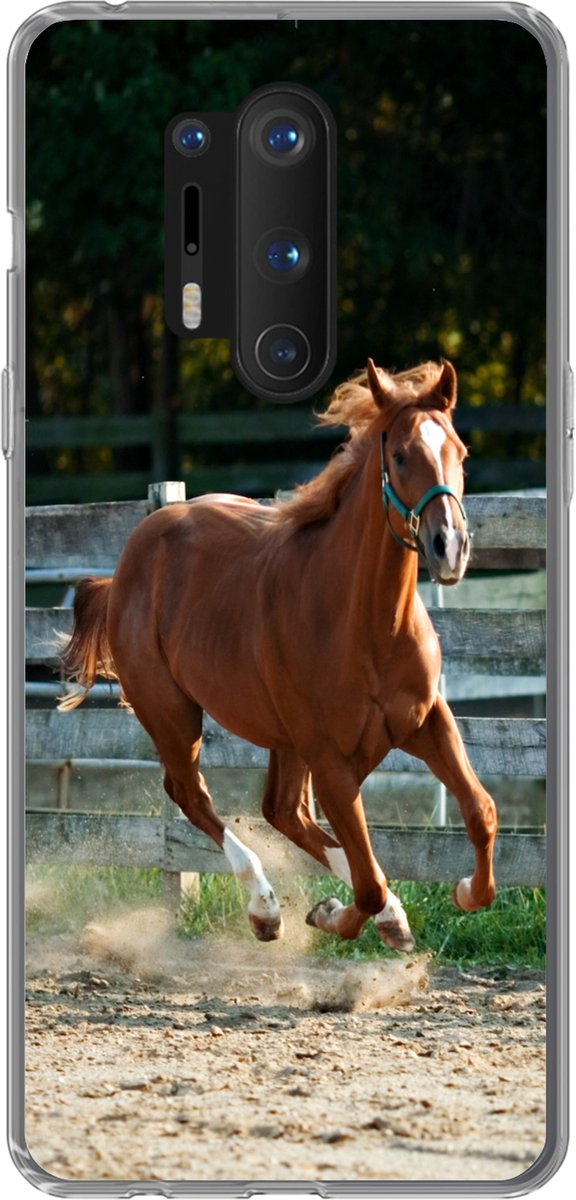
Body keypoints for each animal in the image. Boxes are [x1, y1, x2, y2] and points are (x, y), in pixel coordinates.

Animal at [59, 358, 497, 952]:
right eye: (401, 455)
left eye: (460, 450)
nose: (448, 547)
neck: (368, 625)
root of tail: (130, 560)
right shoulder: (332, 761)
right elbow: (368, 883)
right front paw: (332, 914)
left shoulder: (426, 721)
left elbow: (480, 812)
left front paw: (464, 893)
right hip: (173, 713)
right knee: (192, 794)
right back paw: (265, 908)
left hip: (282, 740)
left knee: (281, 810)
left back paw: (380, 916)